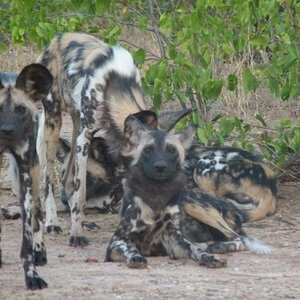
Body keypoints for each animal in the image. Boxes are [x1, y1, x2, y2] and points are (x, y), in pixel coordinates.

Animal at [104, 115, 270, 270]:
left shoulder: (174, 240)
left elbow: (195, 249)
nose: (160, 167)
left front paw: (209, 257)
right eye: (148, 149)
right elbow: (130, 249)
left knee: (239, 238)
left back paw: (216, 247)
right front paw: (136, 257)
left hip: (193, 203)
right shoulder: (117, 241)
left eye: (171, 150)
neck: (158, 193)